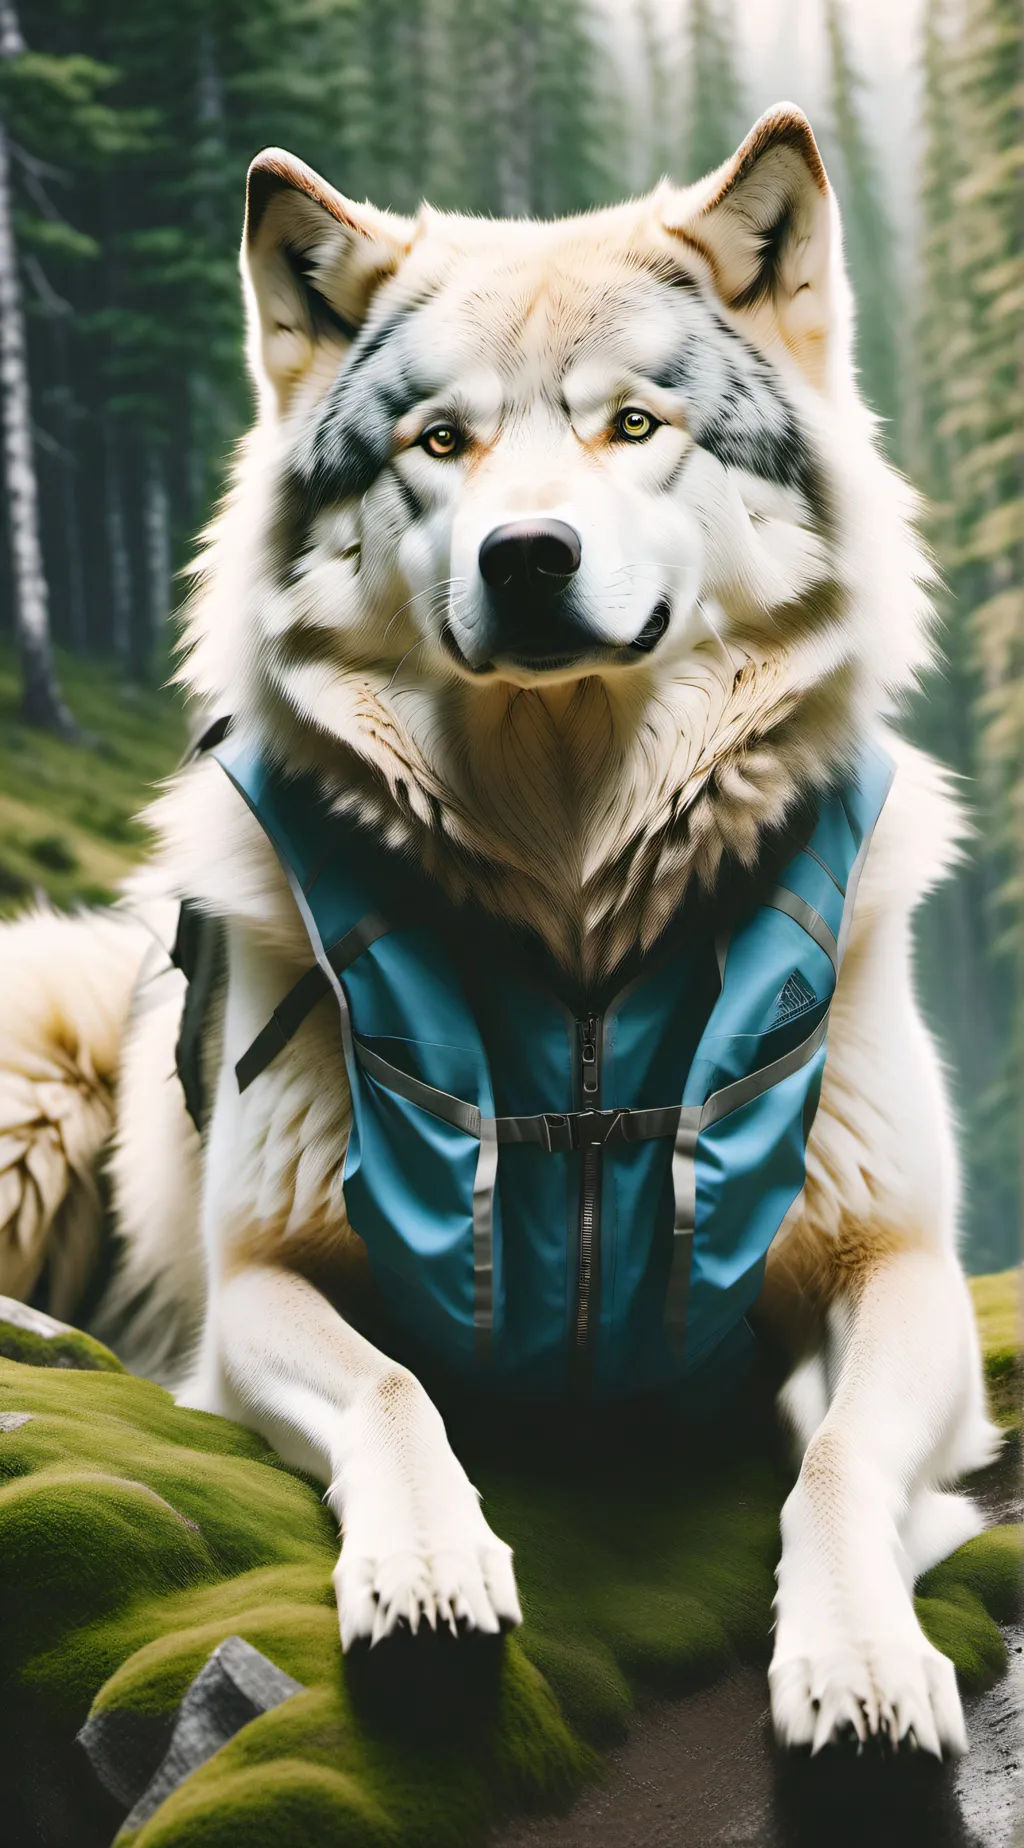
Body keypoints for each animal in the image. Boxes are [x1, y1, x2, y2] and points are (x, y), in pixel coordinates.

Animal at [0, 105, 999, 1758]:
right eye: (438, 443)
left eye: (636, 427)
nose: (526, 554)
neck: (573, 910)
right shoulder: (260, 1281)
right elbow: (394, 1391)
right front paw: (424, 1573)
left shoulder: (896, 1263)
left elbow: (843, 1455)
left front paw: (861, 1658)